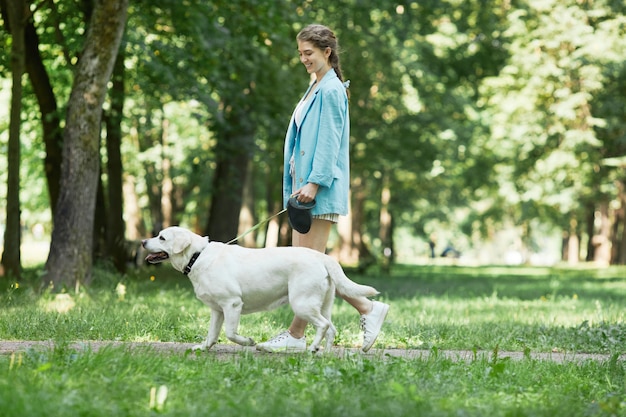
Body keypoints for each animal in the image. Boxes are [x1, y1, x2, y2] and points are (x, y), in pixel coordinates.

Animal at [141, 228, 376, 352]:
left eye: (161, 237)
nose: (143, 241)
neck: (196, 256)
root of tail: (322, 256)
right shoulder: (217, 310)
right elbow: (212, 333)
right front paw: (203, 348)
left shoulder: (232, 303)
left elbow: (230, 333)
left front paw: (248, 342)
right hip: (323, 303)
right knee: (331, 328)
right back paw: (323, 353)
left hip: (302, 304)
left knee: (323, 325)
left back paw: (312, 348)